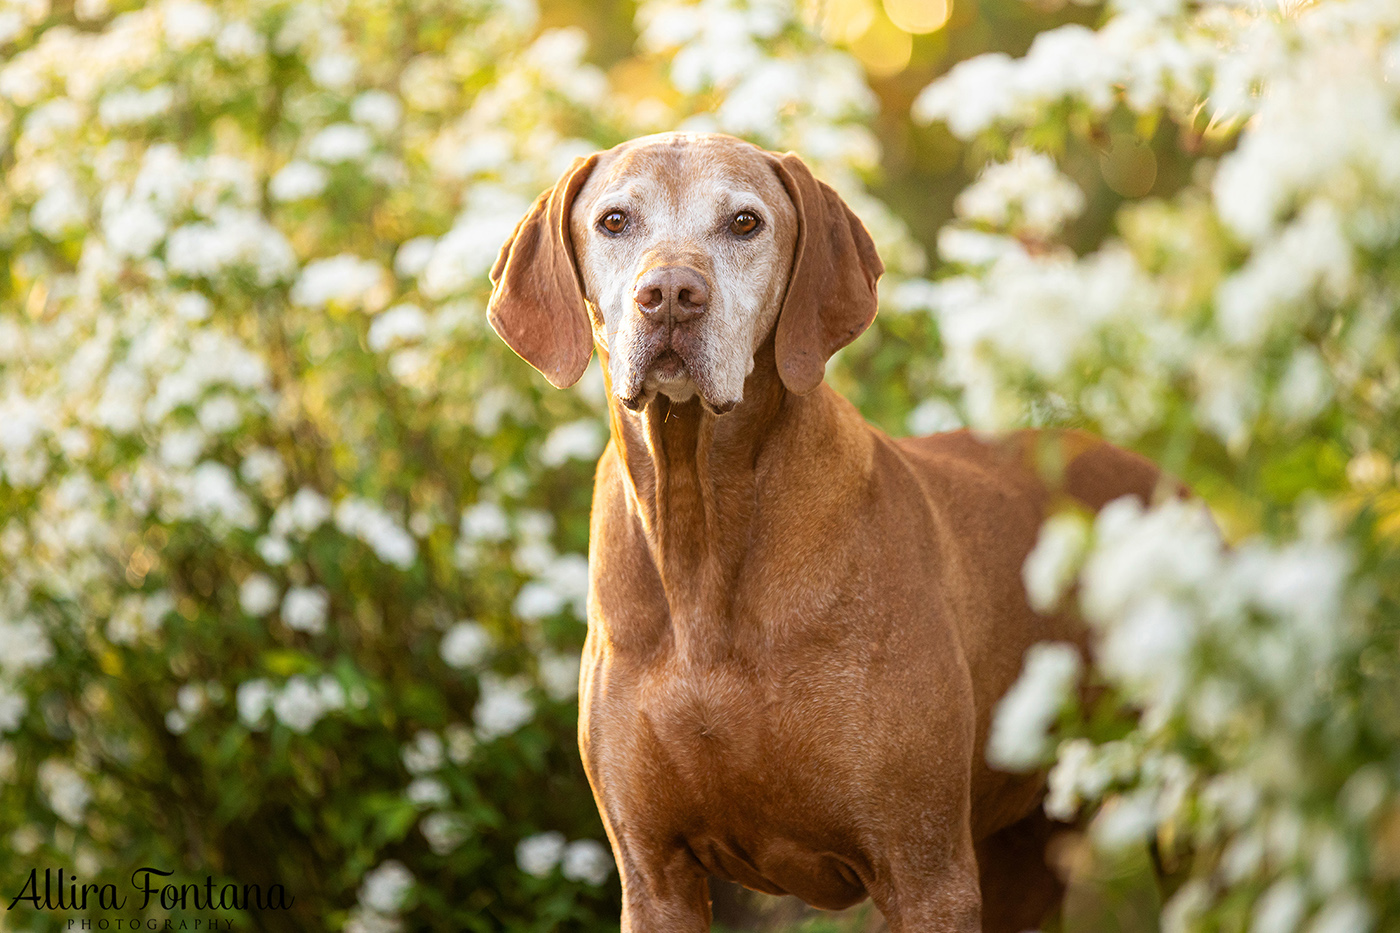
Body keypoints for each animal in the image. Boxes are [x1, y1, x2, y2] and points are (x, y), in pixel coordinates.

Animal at [487, 132, 1164, 930]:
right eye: (614, 221)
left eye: (745, 222)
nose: (672, 295)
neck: (702, 526)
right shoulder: (655, 878)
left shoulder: (926, 871)